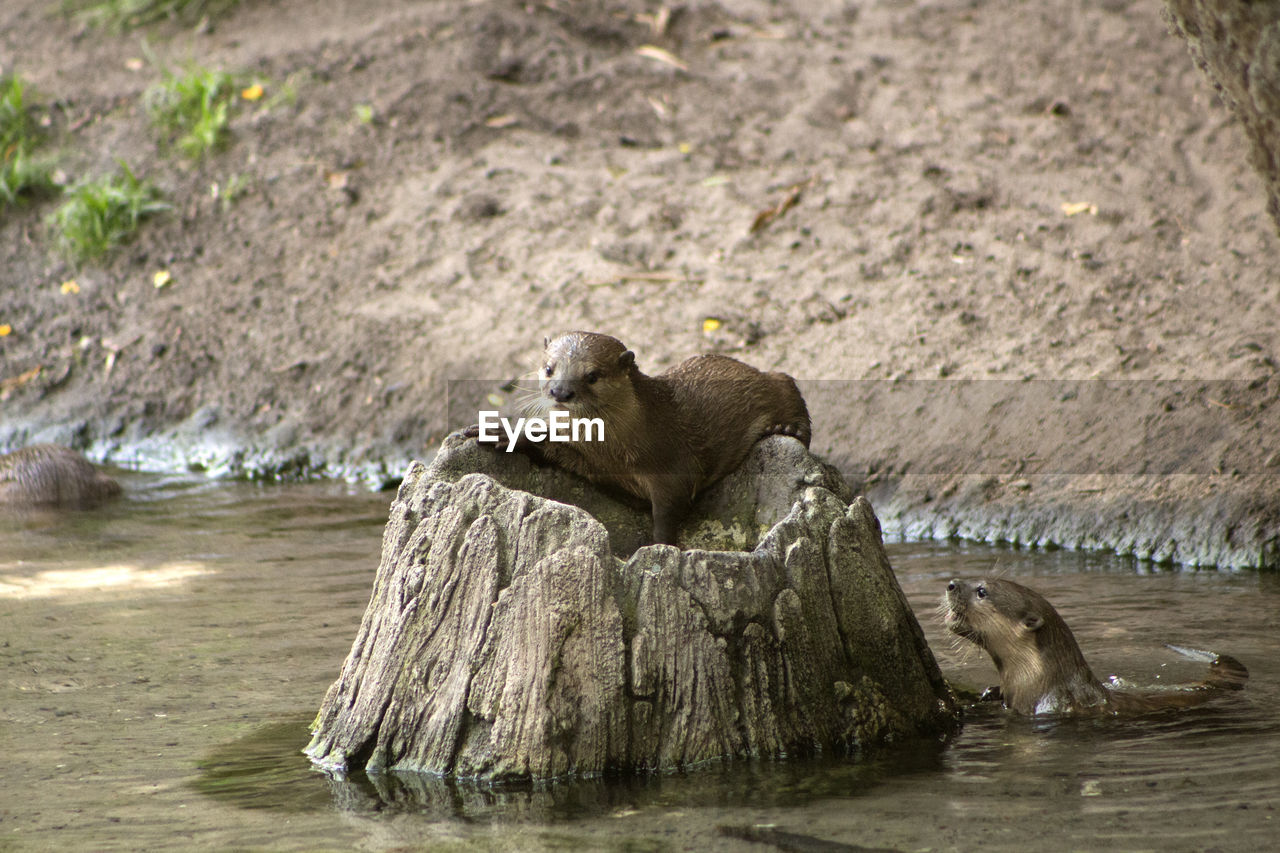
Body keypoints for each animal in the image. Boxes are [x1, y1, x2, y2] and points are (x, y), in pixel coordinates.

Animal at [468, 327, 808, 540]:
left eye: (592, 375)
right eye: (549, 368)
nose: (560, 391)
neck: (615, 449)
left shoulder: (673, 468)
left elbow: (667, 512)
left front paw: (659, 547)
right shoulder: (587, 458)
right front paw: (503, 433)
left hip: (776, 384)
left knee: (788, 385)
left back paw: (787, 428)